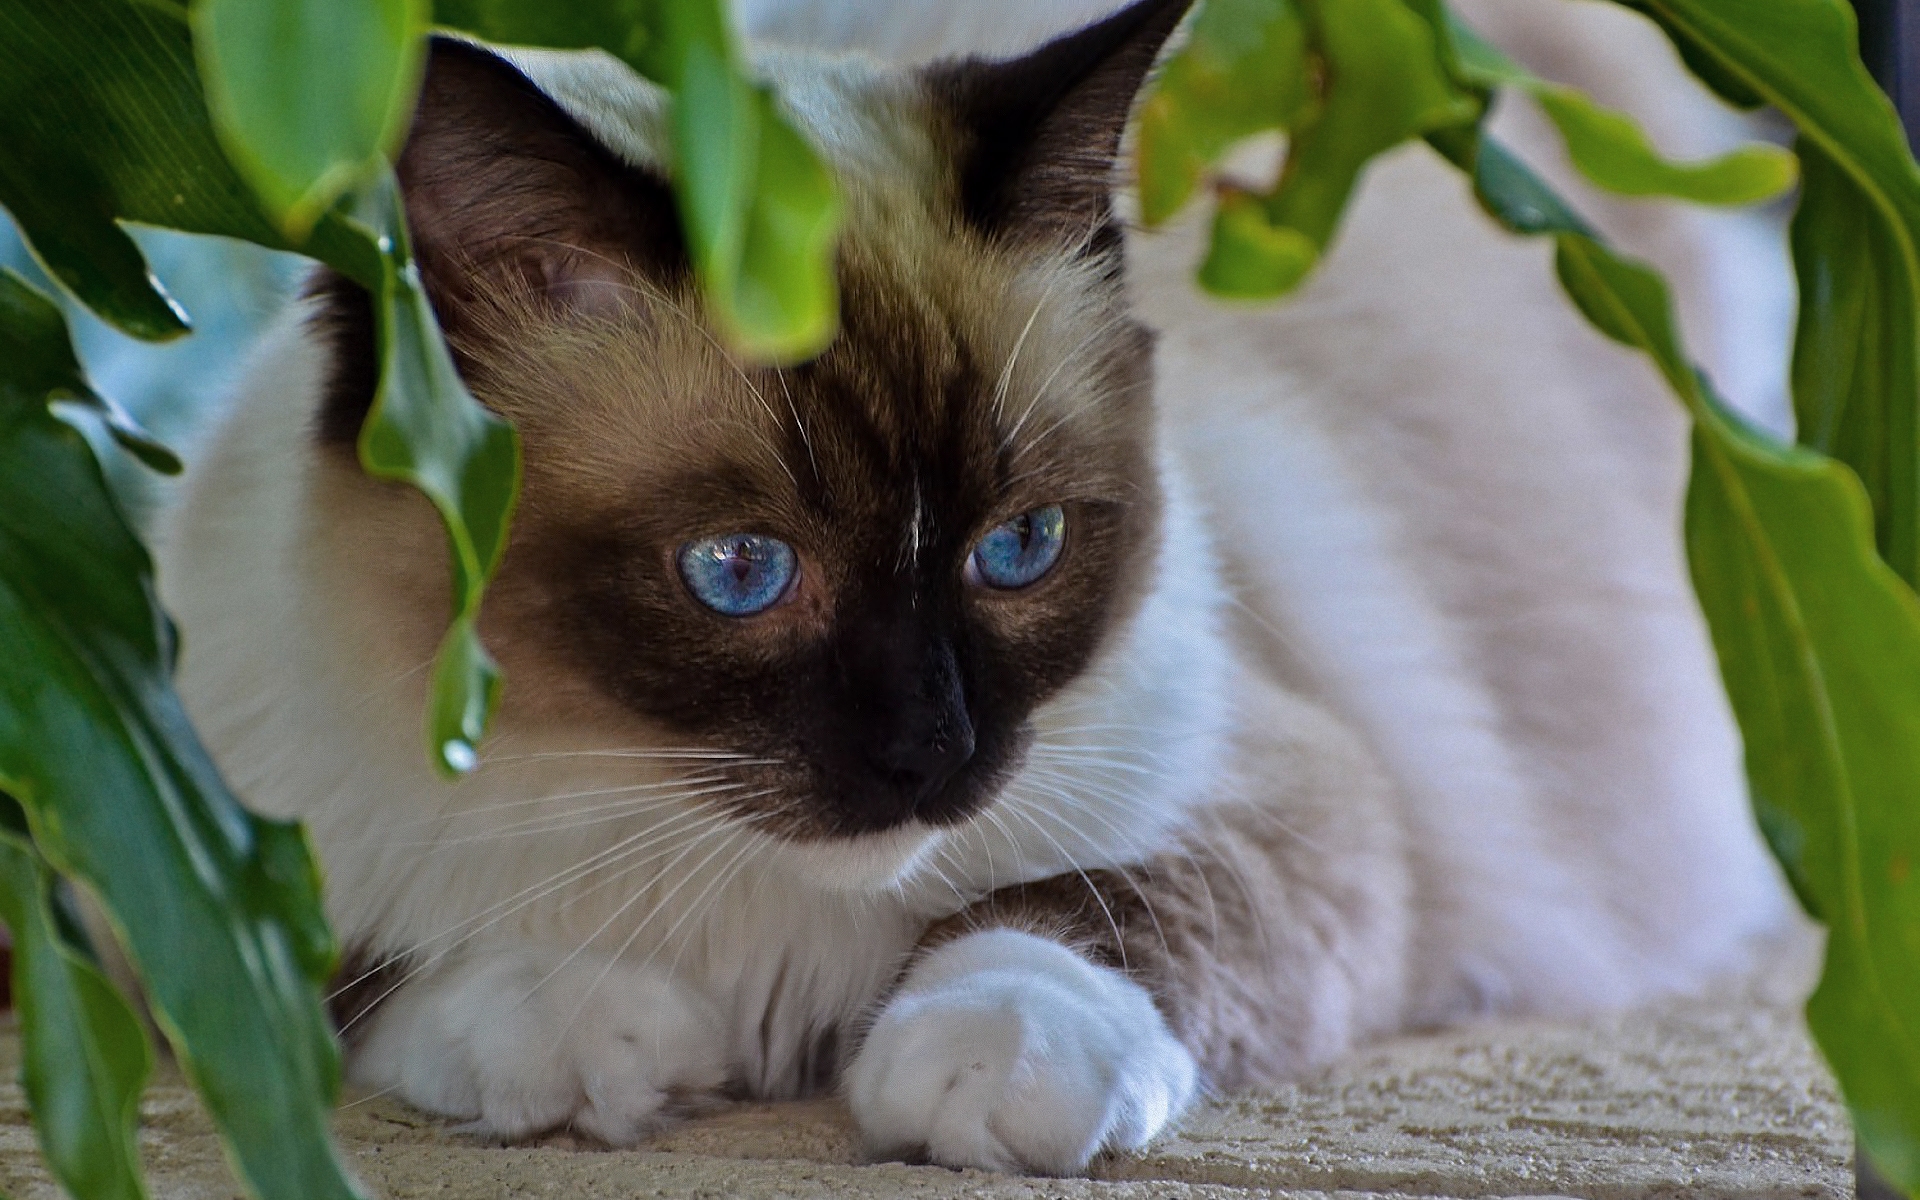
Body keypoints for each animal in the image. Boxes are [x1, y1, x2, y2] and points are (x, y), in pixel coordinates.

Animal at [157, 0, 1789, 1182]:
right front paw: (585, 1033)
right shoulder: (191, 859)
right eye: (740, 572)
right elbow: (376, 982)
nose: (931, 755)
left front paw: (981, 1063)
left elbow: (1080, 913)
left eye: (1020, 547)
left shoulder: (1292, 795)